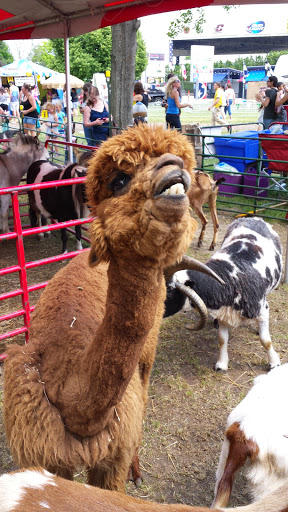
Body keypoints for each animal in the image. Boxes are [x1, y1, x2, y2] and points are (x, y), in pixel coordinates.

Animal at [165, 217, 282, 372]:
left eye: (169, 293)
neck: (231, 279)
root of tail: (252, 217)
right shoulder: (223, 313)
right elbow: (222, 340)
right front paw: (222, 364)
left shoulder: (261, 310)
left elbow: (265, 340)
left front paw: (274, 362)